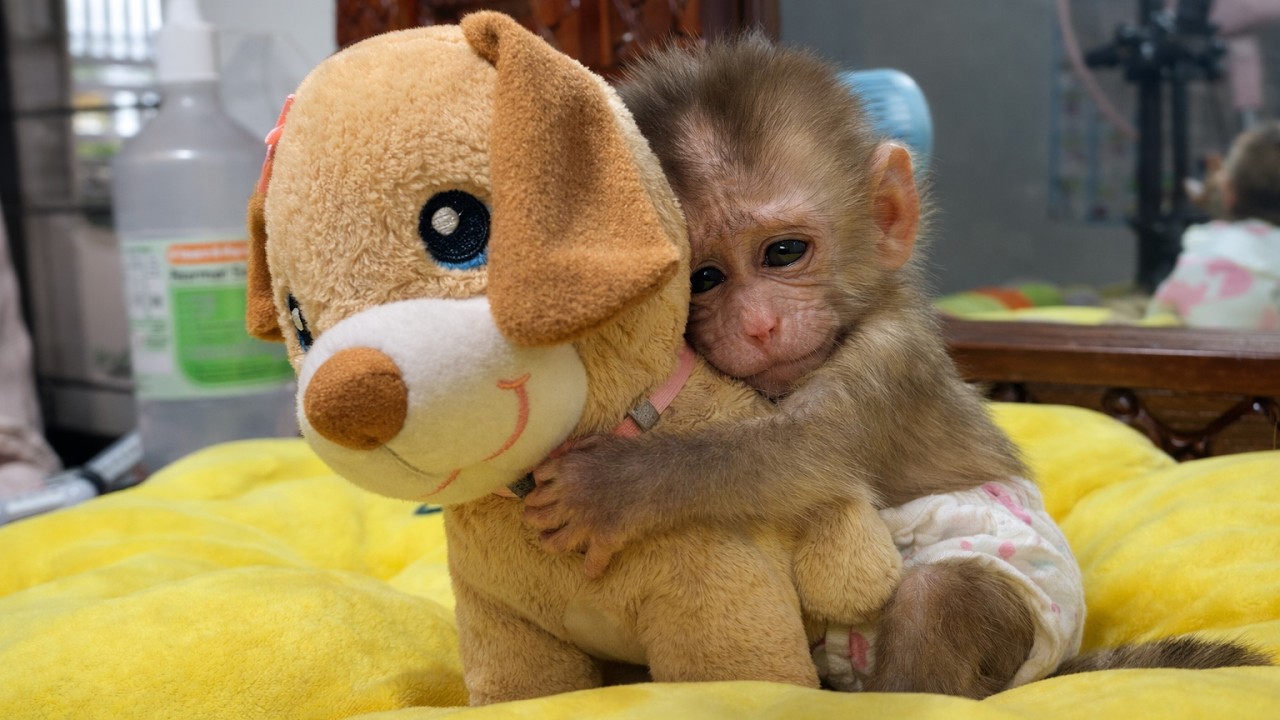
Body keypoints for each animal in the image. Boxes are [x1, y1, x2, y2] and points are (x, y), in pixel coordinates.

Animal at [522, 34, 1271, 698]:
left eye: (784, 252)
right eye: (703, 278)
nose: (759, 325)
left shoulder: (889, 360)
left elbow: (799, 456)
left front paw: (612, 486)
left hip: (1033, 613)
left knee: (940, 594)